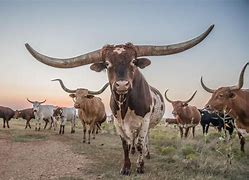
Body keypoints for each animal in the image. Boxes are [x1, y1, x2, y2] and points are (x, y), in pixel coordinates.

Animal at [26, 25, 215, 174]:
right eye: (107, 64)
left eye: (133, 62)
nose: (122, 85)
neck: (126, 105)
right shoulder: (118, 122)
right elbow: (125, 144)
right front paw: (126, 167)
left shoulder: (144, 121)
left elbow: (140, 143)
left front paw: (140, 166)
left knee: (144, 140)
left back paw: (146, 154)